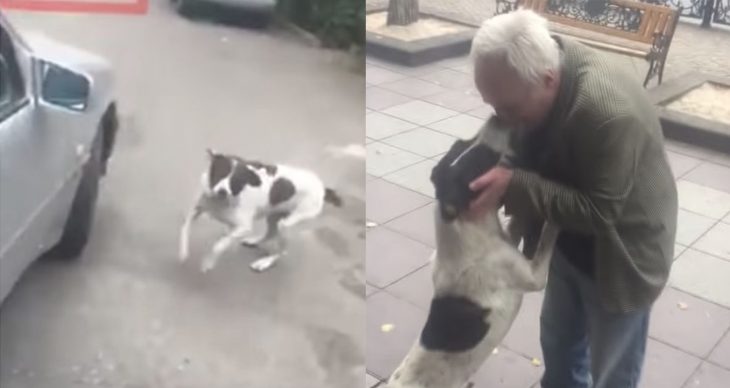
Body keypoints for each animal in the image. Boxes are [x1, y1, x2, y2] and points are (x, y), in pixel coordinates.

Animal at [179, 149, 344, 272]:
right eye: (221, 172)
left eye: (236, 181)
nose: (222, 191)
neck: (220, 201)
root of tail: (323, 188)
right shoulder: (196, 209)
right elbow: (185, 229)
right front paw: (183, 251)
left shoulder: (243, 227)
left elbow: (219, 245)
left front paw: (208, 262)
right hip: (274, 216)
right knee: (270, 232)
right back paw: (254, 241)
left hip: (287, 223)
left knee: (281, 250)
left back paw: (265, 262)